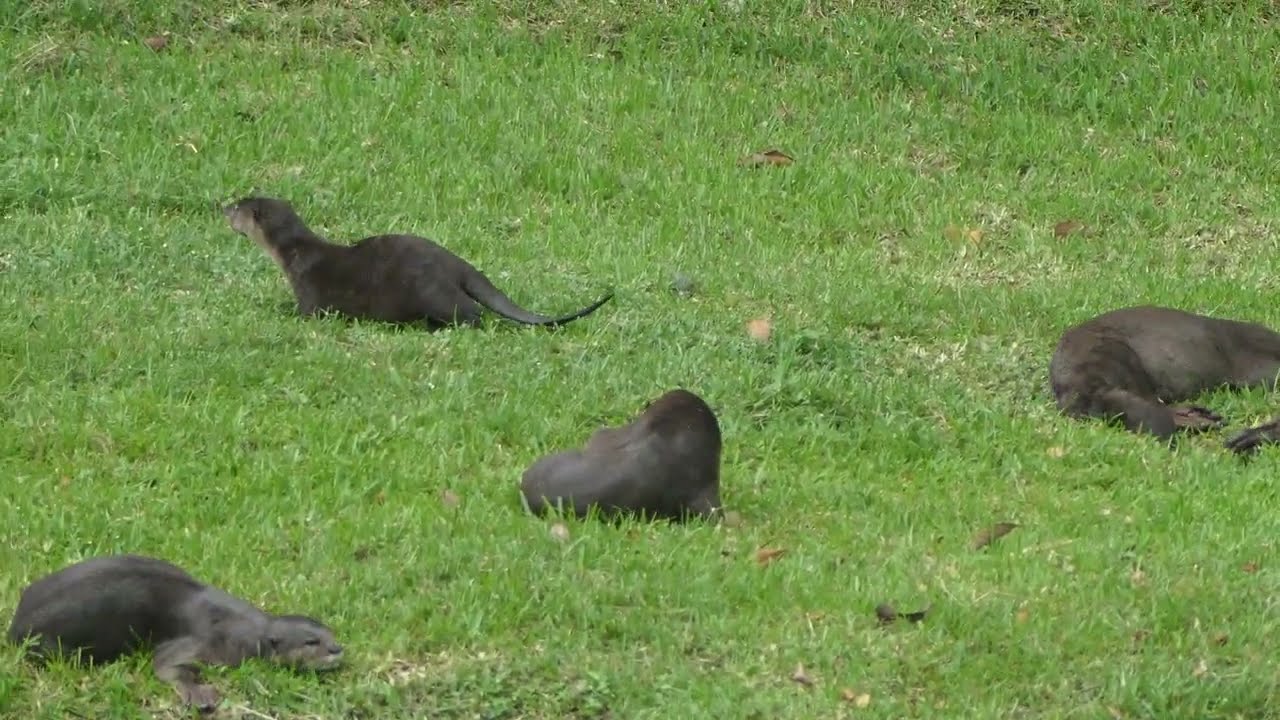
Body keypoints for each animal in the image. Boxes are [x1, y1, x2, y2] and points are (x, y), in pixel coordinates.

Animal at [7, 554, 343, 713]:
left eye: (330, 634)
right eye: (312, 642)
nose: (337, 649)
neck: (245, 630)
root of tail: (15, 627)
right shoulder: (207, 640)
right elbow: (166, 662)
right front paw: (200, 695)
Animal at [221, 195, 613, 329]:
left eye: (238, 205)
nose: (223, 207)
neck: (295, 252)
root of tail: (455, 263)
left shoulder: (308, 289)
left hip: (431, 293)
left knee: (472, 313)